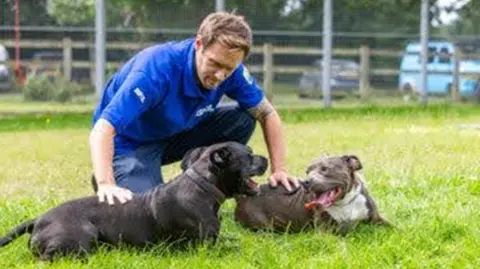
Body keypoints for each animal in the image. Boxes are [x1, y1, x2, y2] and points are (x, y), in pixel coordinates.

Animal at [0, 141, 266, 258]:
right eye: (249, 155)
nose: (265, 159)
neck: (204, 185)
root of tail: (37, 220)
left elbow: (233, 239)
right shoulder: (204, 247)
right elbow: (234, 247)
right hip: (81, 236)